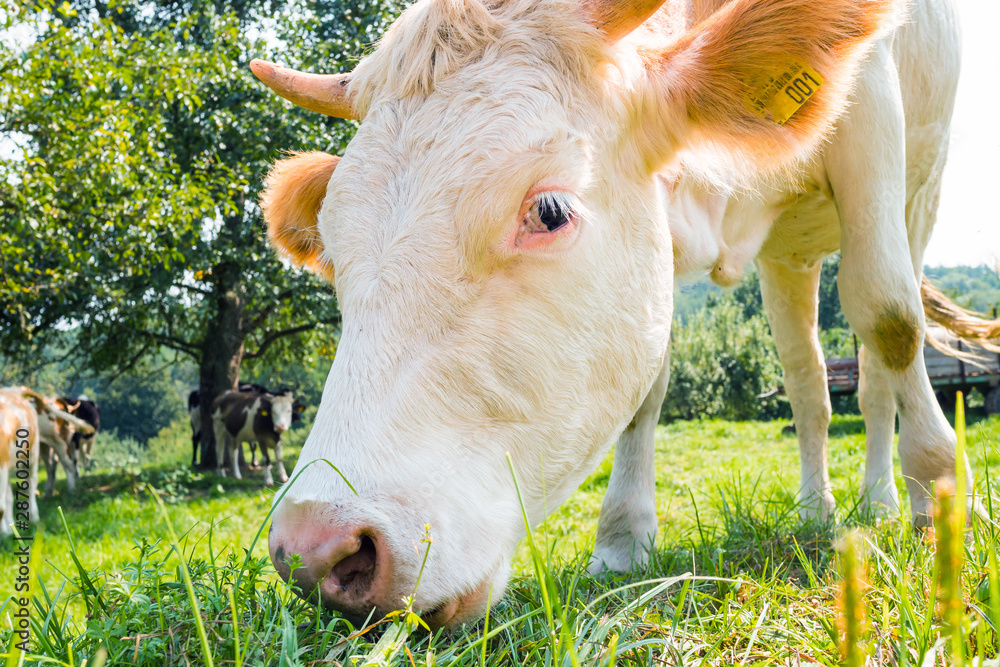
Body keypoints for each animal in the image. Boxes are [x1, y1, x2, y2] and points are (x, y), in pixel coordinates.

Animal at [252, 0, 908, 632]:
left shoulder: (881, 104)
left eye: (549, 211)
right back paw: (816, 508)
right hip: (789, 257)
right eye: (334, 248)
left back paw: (882, 501)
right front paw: (623, 545)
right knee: (807, 380)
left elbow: (891, 316)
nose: (316, 550)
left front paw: (928, 494)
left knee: (878, 358)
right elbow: (647, 385)